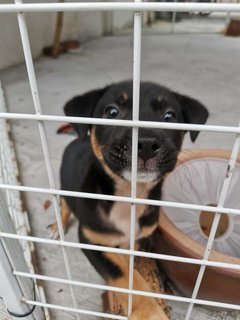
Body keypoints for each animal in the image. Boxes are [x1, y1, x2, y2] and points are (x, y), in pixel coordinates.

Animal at [53, 81, 207, 318]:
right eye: (112, 112)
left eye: (169, 116)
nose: (146, 144)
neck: (129, 196)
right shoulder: (91, 239)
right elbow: (123, 273)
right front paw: (149, 312)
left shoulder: (138, 238)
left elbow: (131, 266)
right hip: (64, 187)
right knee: (64, 205)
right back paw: (57, 225)